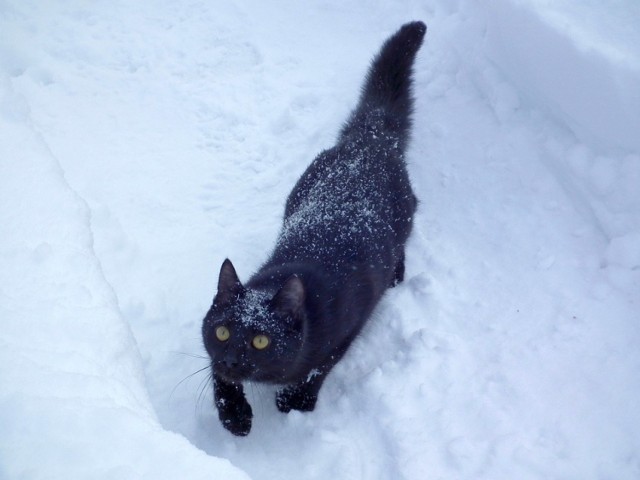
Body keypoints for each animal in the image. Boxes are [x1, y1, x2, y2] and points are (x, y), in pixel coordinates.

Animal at [202, 21, 428, 436]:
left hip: (405, 215)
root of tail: (368, 139)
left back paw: (397, 274)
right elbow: (212, 367)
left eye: (261, 341)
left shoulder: (346, 330)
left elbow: (319, 368)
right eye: (223, 332)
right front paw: (233, 412)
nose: (233, 360)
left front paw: (295, 401)